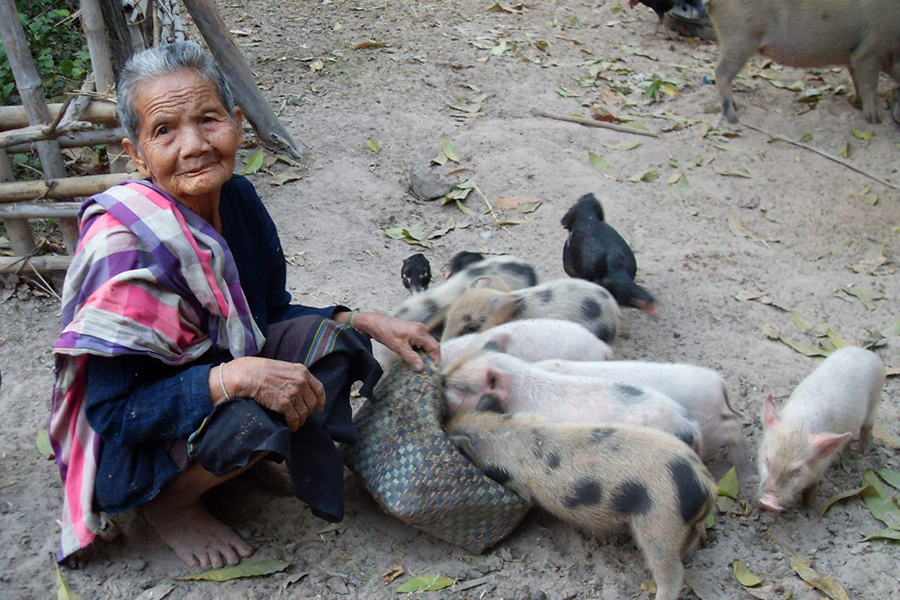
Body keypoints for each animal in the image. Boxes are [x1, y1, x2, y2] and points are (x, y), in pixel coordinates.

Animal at [450, 410, 716, 600]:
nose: (448, 425)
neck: (504, 434)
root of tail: (705, 486)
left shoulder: (522, 486)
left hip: (659, 520)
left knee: (671, 571)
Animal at [712, 0, 900, 123]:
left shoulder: (853, 56)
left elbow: (857, 82)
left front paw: (858, 104)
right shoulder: (869, 52)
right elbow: (870, 87)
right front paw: (875, 120)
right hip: (741, 39)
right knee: (721, 72)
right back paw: (733, 118)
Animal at [760, 346, 884, 510]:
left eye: (798, 470)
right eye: (767, 460)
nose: (769, 502)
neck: (799, 423)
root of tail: (866, 351)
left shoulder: (820, 466)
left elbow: (811, 488)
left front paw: (809, 510)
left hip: (874, 401)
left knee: (867, 427)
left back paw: (865, 451)